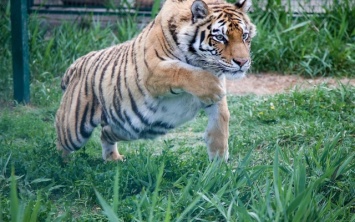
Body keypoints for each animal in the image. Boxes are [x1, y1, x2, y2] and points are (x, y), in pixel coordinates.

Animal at [55, 0, 256, 161]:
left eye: (244, 36)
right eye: (220, 37)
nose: (242, 62)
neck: (203, 62)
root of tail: (78, 63)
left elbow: (221, 123)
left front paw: (218, 166)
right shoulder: (152, 71)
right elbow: (181, 71)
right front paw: (215, 88)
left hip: (127, 129)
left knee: (105, 134)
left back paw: (113, 159)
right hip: (73, 130)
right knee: (60, 139)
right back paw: (63, 165)